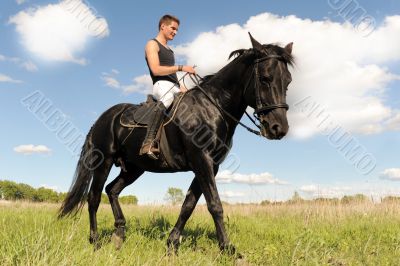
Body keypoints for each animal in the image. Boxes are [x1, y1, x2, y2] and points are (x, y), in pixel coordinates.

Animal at [61, 34, 296, 252]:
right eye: (265, 78)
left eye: (289, 81)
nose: (279, 128)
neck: (213, 107)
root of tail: (103, 118)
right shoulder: (202, 161)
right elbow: (214, 204)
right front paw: (227, 248)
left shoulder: (211, 166)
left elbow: (188, 205)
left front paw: (172, 243)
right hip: (104, 161)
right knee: (94, 198)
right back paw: (95, 241)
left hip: (135, 168)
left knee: (112, 190)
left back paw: (119, 233)